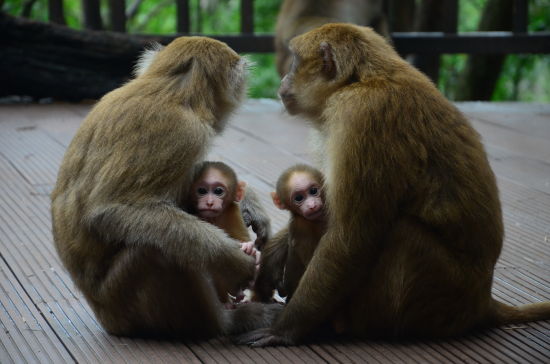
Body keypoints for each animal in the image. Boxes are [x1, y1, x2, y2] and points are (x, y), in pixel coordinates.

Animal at [190, 162, 258, 304]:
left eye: (218, 191)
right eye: (202, 191)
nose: (209, 202)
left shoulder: (233, 211)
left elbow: (242, 238)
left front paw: (249, 248)